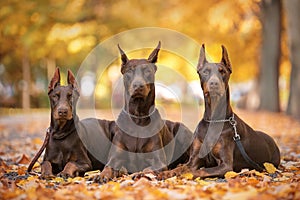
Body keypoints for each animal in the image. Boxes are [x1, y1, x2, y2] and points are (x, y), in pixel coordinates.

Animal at [93, 41, 192, 181]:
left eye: (147, 71)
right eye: (129, 71)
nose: (138, 85)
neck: (138, 118)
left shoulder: (159, 162)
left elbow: (148, 169)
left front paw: (140, 173)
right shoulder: (115, 157)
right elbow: (108, 167)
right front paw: (102, 175)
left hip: (183, 131)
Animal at [158, 44, 280, 179]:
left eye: (222, 71)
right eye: (205, 71)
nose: (214, 83)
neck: (214, 119)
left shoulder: (225, 166)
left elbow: (198, 171)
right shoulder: (194, 160)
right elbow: (183, 168)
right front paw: (165, 173)